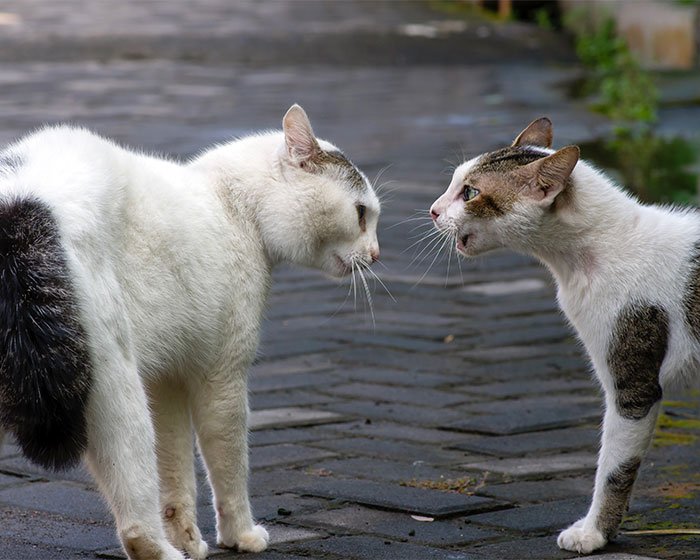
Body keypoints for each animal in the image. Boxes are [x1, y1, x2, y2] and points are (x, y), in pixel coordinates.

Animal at [0, 103, 380, 556]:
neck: (232, 204)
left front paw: (187, 537)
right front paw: (240, 535)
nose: (377, 254)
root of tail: (21, 203)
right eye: (361, 214)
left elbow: (176, 471)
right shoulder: (222, 376)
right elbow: (229, 469)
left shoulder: (166, 381)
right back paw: (163, 552)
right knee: (135, 522)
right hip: (116, 389)